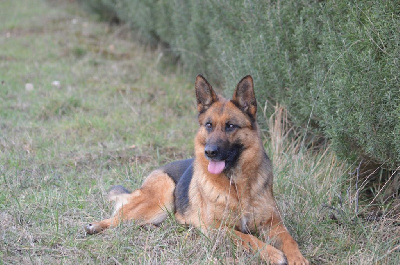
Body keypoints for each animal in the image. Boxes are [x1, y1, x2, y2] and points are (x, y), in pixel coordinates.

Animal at [85, 75, 310, 264]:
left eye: (230, 126)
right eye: (209, 125)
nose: (209, 151)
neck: (237, 184)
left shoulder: (274, 225)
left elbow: (290, 240)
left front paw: (298, 259)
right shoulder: (217, 228)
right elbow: (248, 238)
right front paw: (273, 253)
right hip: (160, 199)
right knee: (119, 218)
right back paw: (96, 226)